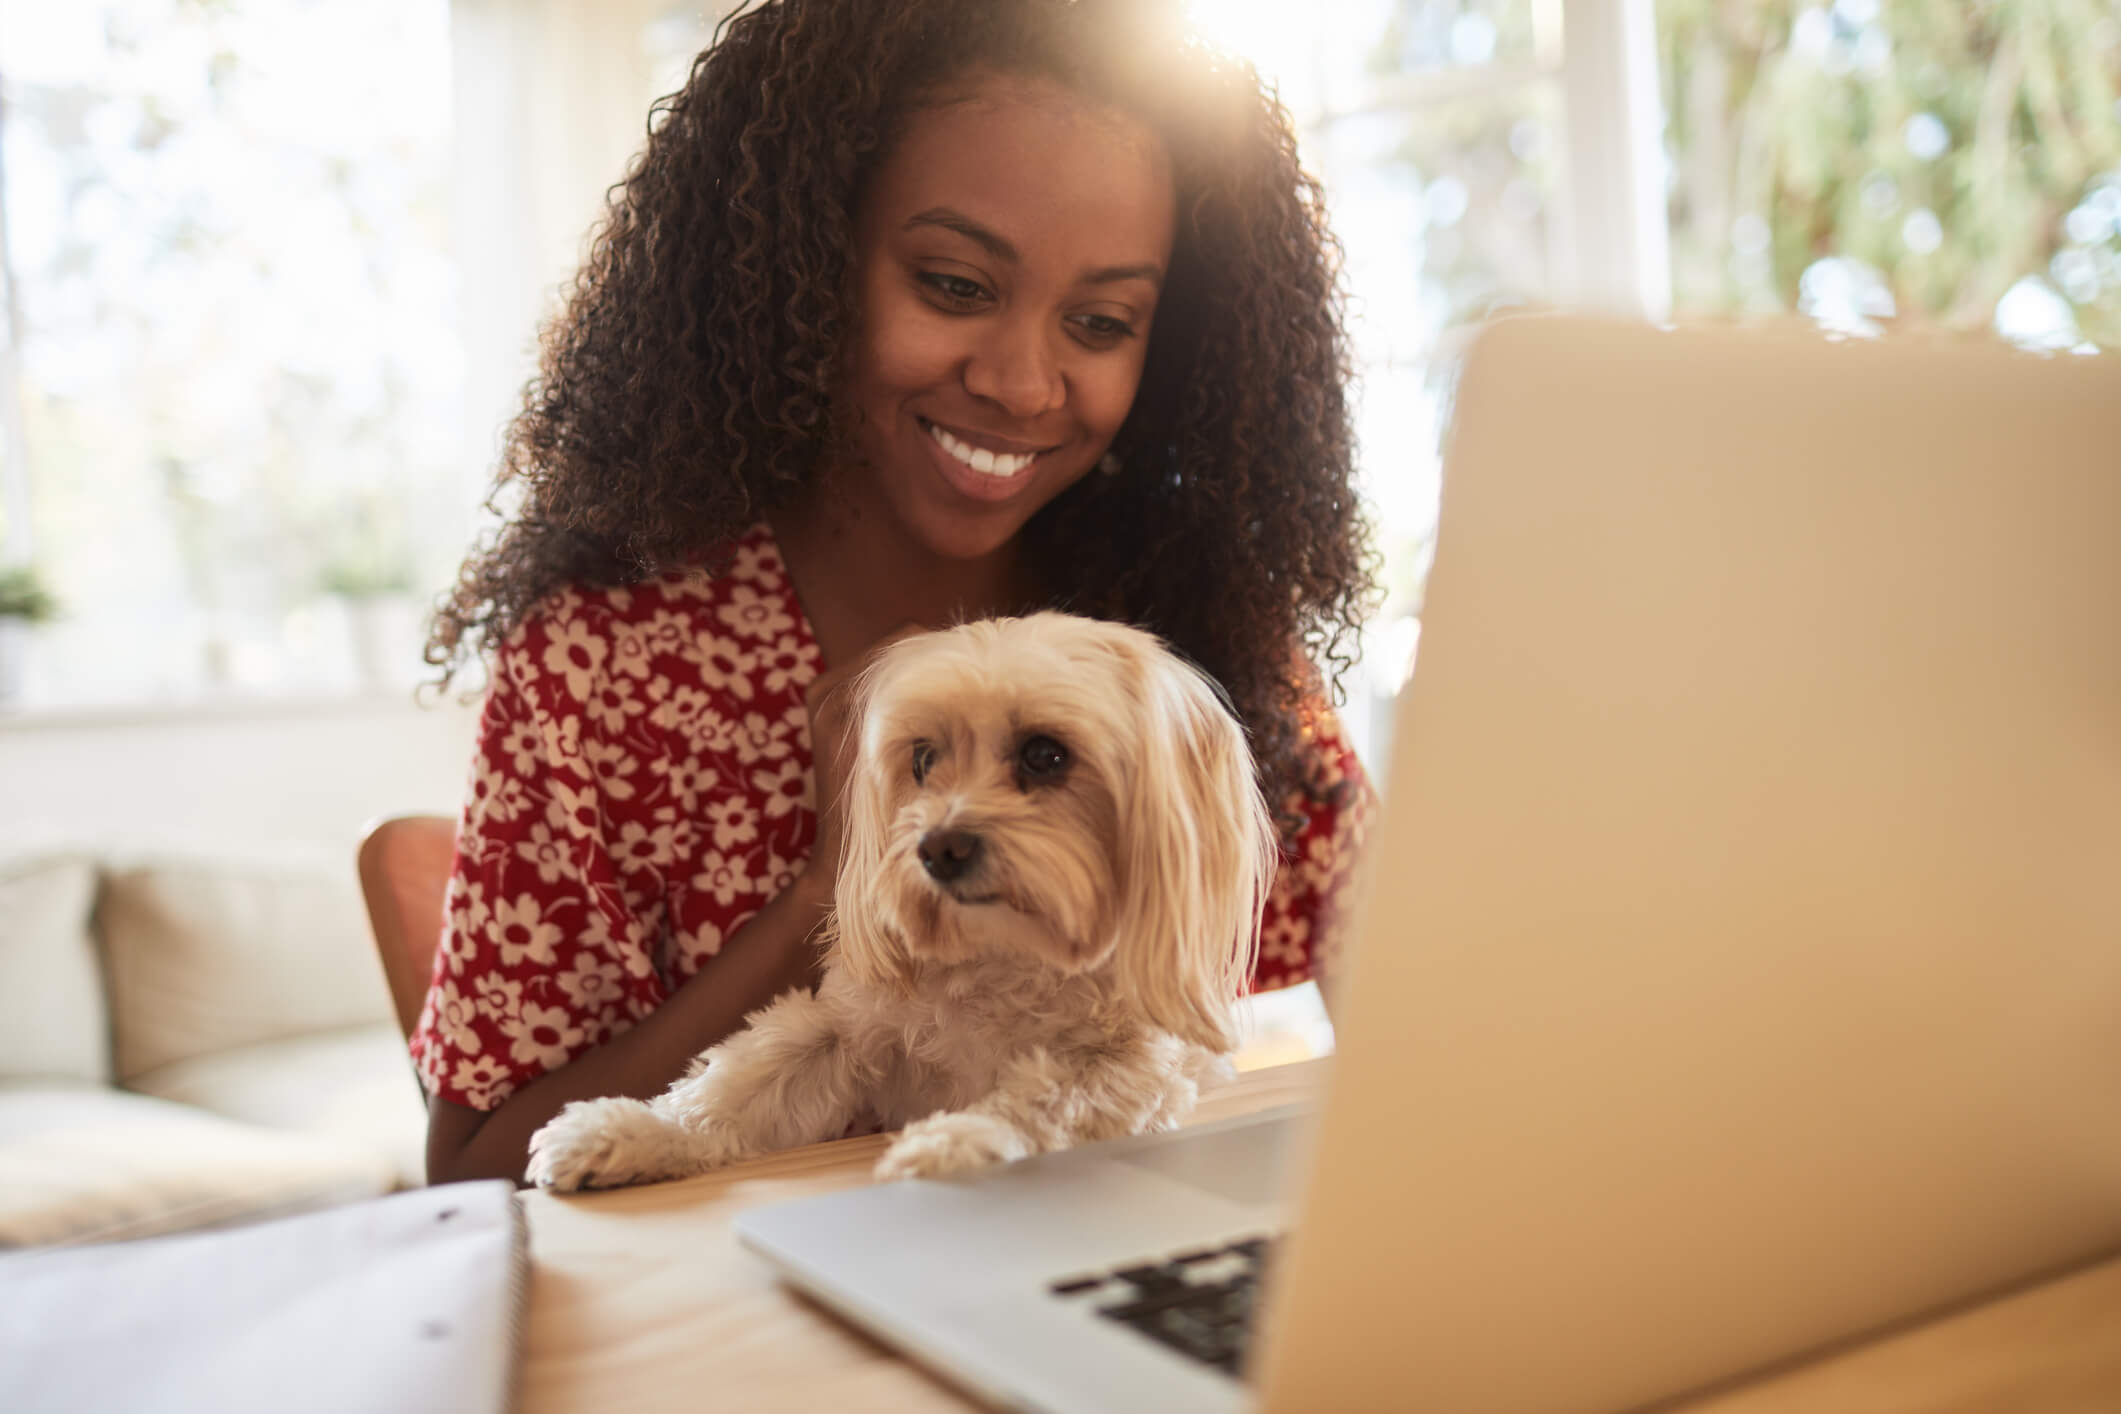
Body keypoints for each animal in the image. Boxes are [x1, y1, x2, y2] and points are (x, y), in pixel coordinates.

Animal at [530, 614, 1272, 1187]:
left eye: (1044, 755)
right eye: (921, 759)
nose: (940, 848)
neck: (1002, 953)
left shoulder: (1128, 1061)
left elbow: (1049, 1098)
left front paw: (962, 1140)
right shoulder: (849, 1025)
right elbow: (744, 1081)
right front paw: (632, 1131)